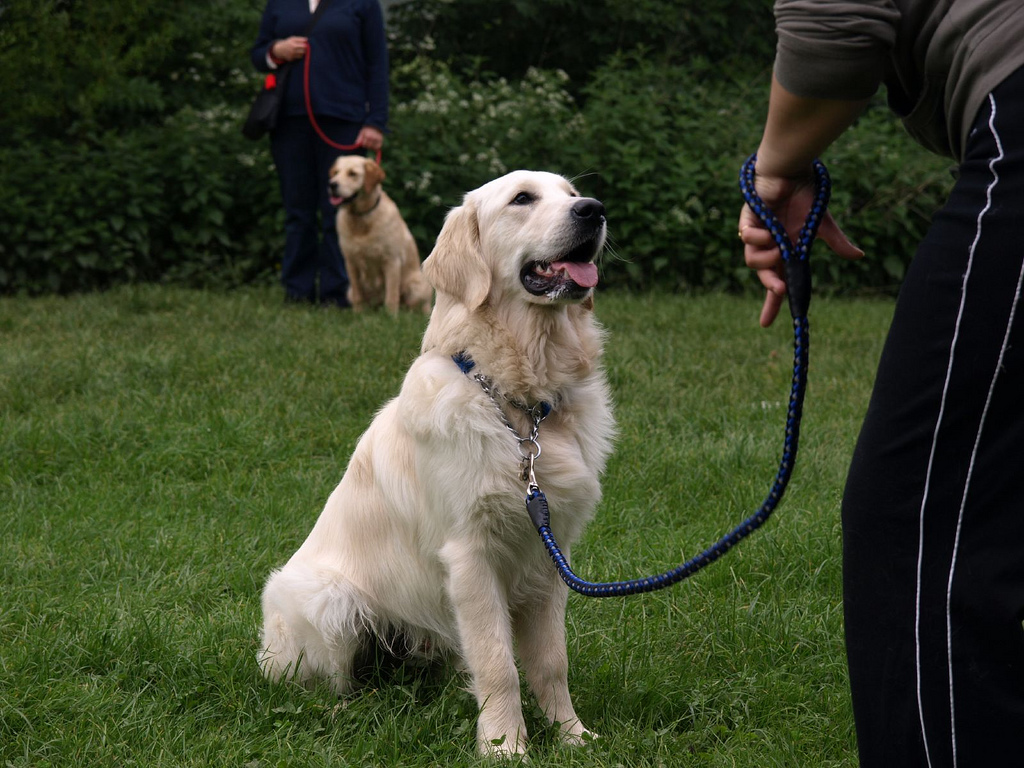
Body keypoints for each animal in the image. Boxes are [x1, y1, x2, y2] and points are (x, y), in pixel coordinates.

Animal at [327, 156, 432, 315]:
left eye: (352, 174)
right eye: (336, 173)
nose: (332, 185)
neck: (361, 219)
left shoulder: (392, 261)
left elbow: (391, 295)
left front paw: (391, 316)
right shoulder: (350, 262)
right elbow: (358, 295)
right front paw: (358, 314)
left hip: (418, 286)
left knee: (421, 306)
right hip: (350, 290)